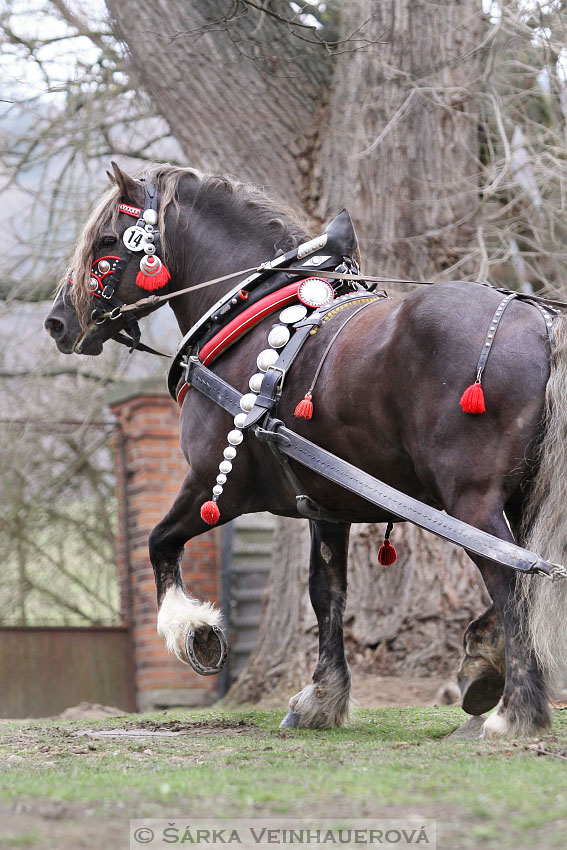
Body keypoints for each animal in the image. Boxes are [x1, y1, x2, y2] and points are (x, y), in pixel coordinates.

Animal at [45, 161, 567, 736]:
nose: (58, 322)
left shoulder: (215, 485)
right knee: (525, 571)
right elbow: (326, 592)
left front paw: (195, 633)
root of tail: (538, 322)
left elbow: (159, 542)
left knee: (509, 578)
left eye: (106, 241)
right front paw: (324, 696)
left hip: (471, 498)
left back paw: (518, 711)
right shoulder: (328, 506)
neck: (251, 317)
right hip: (515, 498)